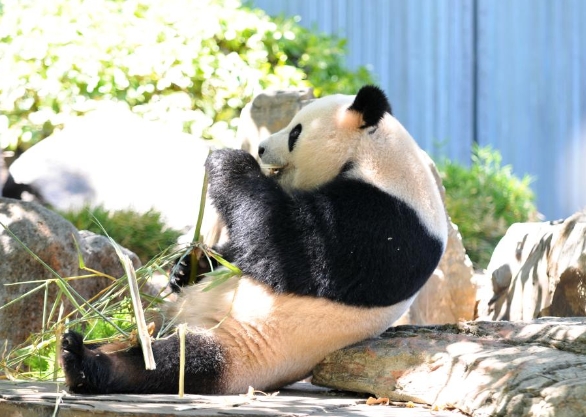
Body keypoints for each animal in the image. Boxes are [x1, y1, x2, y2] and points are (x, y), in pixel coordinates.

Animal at [60, 85, 448, 394]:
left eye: (295, 131)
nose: (260, 148)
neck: (378, 157)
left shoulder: (386, 223)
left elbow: (289, 244)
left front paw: (228, 161)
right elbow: (245, 251)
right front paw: (187, 265)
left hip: (246, 347)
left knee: (178, 361)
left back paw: (84, 362)